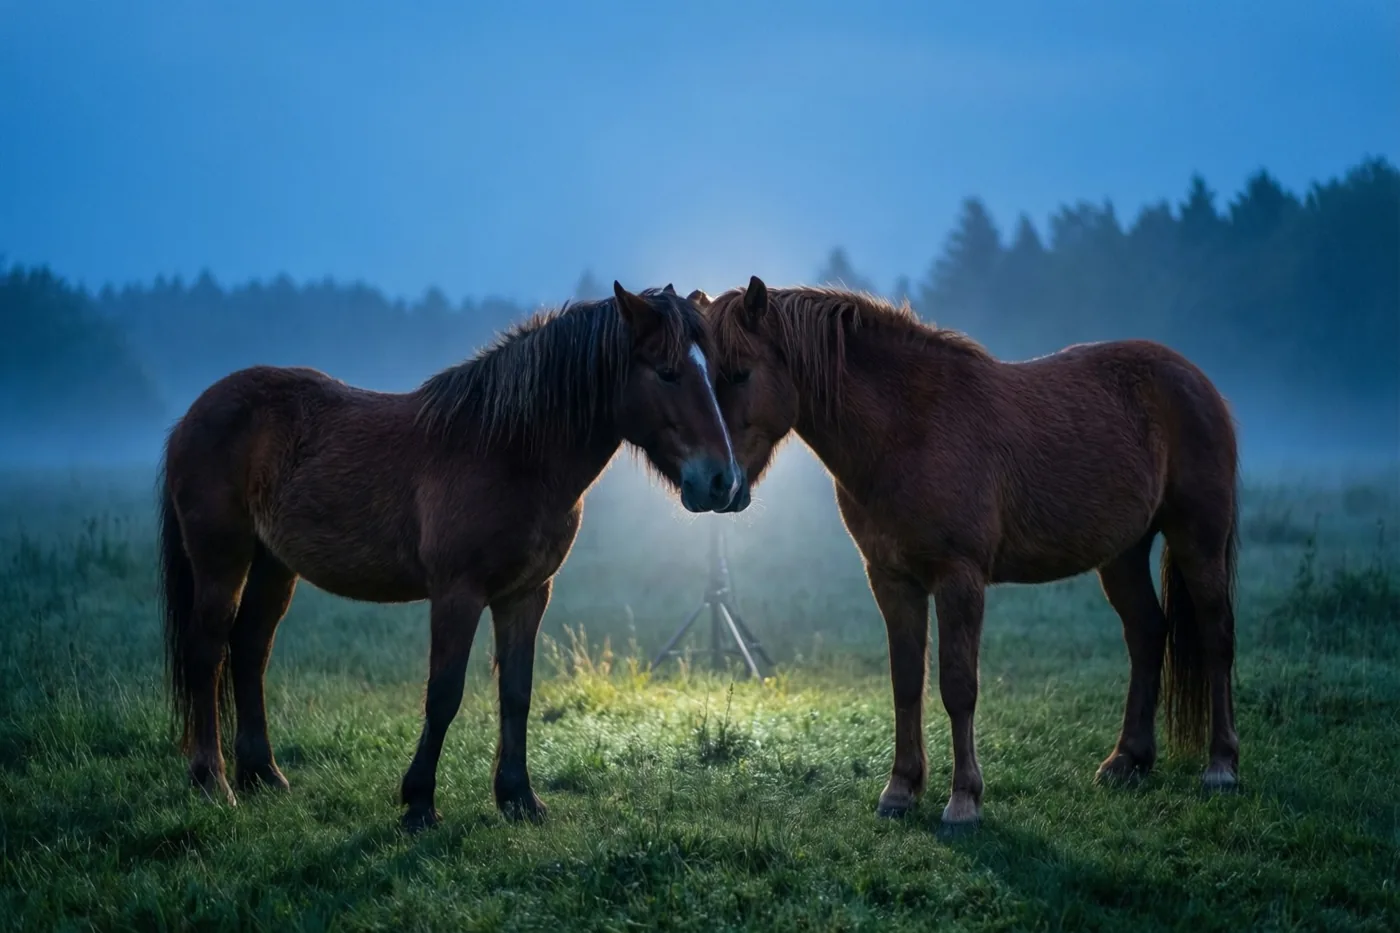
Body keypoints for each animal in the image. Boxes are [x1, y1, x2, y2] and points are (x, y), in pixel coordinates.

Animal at [159, 282, 740, 832]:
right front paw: (419, 803)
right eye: (667, 373)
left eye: (712, 374)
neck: (507, 451)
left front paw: (519, 798)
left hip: (274, 566)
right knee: (208, 651)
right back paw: (213, 782)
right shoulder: (457, 593)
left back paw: (263, 774)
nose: (722, 481)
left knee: (250, 649)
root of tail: (194, 412)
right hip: (221, 559)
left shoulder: (526, 594)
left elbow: (517, 692)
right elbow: (444, 694)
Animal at [695, 277, 1240, 828]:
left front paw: (964, 800)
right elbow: (906, 680)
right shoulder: (892, 579)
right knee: (1147, 634)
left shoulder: (959, 578)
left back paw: (1221, 766)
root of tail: (1195, 379)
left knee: (1216, 635)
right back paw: (1128, 760)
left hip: (1198, 539)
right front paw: (900, 789)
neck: (908, 429)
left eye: (739, 373)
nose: (714, 483)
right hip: (1123, 555)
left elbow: (958, 687)